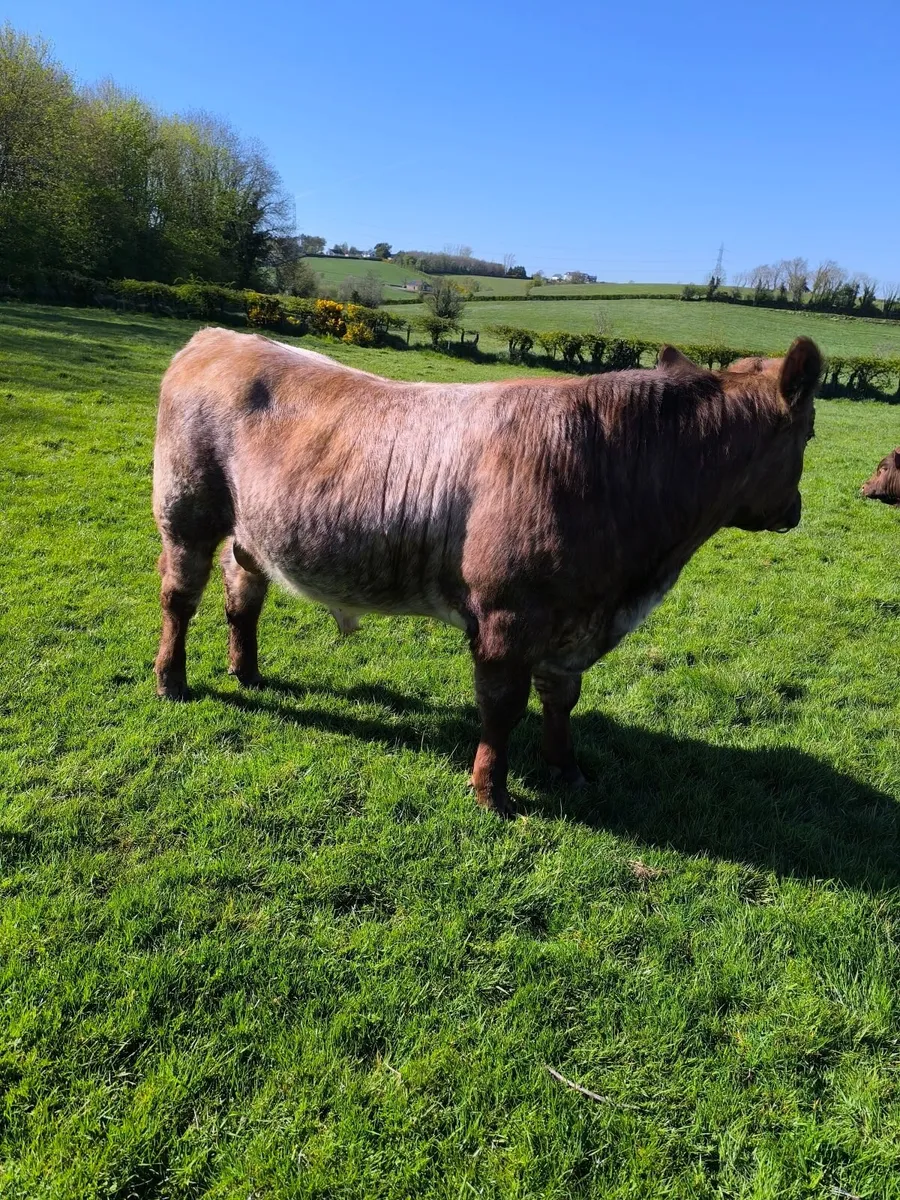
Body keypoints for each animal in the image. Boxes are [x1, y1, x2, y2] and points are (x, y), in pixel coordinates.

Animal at [152, 330, 821, 816]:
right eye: (811, 433)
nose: (794, 510)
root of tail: (218, 337)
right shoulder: (507, 616)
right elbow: (502, 707)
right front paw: (491, 792)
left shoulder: (570, 624)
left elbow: (561, 700)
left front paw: (566, 769)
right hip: (184, 515)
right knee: (179, 599)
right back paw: (171, 680)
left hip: (252, 535)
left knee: (242, 598)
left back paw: (247, 671)